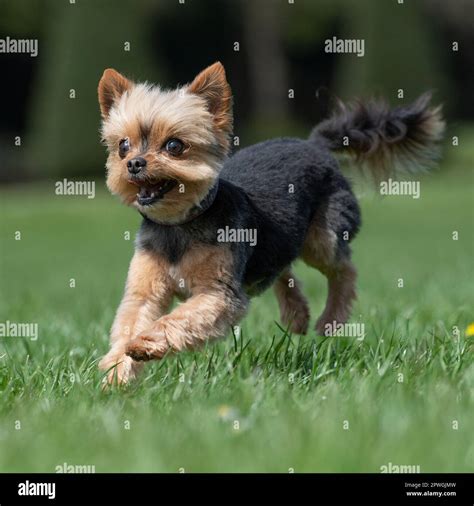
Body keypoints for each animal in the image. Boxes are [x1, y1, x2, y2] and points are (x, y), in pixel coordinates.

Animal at [97, 62, 444, 384]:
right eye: (123, 146)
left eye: (173, 146)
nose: (134, 163)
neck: (179, 224)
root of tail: (313, 143)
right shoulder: (145, 291)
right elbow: (129, 322)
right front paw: (117, 373)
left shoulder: (220, 294)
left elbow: (177, 320)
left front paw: (145, 345)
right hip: (282, 237)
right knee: (282, 267)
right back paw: (297, 315)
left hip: (321, 239)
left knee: (344, 269)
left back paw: (330, 319)